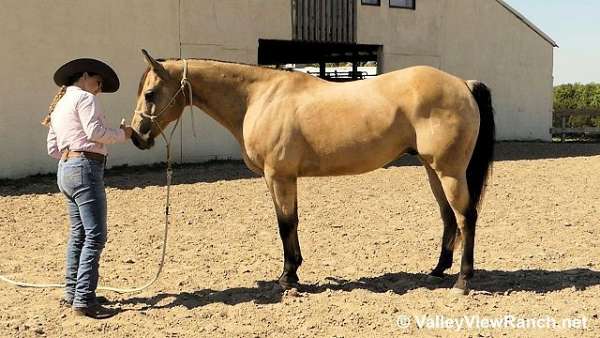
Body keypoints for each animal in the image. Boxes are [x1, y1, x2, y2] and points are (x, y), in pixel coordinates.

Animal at [131, 48, 496, 294]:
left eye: (150, 93)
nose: (136, 135)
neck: (259, 98)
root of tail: (463, 84)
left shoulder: (279, 176)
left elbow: (286, 224)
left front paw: (288, 278)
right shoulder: (278, 179)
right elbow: (288, 223)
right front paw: (292, 271)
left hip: (449, 172)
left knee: (466, 217)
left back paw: (463, 281)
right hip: (432, 170)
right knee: (448, 218)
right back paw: (437, 270)